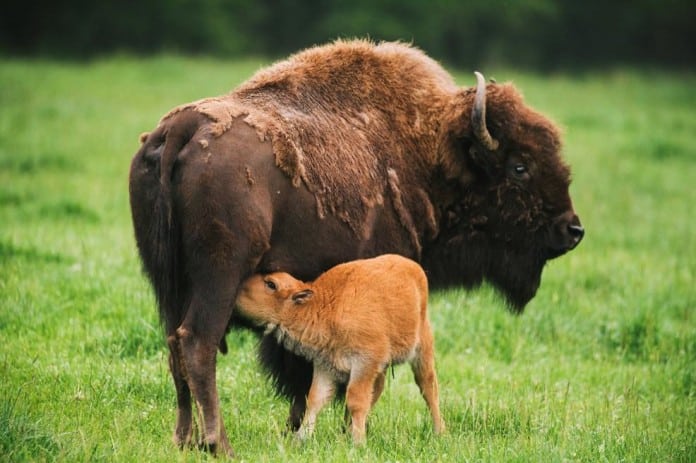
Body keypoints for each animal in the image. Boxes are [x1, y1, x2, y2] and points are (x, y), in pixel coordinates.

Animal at [235, 256, 446, 444]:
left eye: (271, 284)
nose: (238, 289)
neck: (323, 305)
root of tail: (413, 267)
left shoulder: (364, 363)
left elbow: (355, 401)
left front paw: (358, 442)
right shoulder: (325, 366)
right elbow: (315, 399)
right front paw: (301, 438)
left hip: (422, 349)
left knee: (428, 387)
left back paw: (439, 432)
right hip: (382, 367)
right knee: (378, 390)